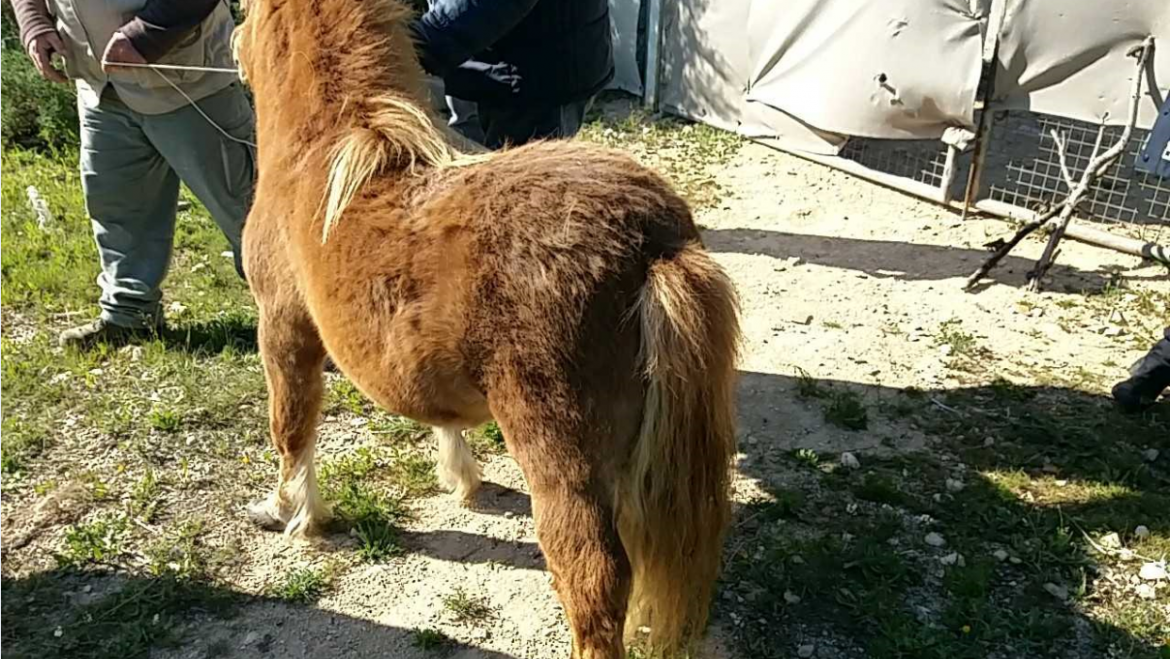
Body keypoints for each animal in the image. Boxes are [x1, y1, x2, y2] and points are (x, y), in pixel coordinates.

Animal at [232, 2, 734, 655]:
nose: (233, 47)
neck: (324, 151)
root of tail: (655, 243)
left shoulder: (283, 330)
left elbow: (290, 430)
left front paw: (288, 513)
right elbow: (442, 421)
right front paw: (462, 478)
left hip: (561, 462)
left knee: (594, 578)